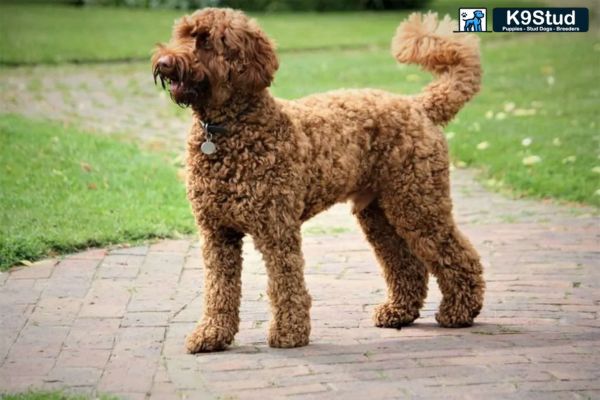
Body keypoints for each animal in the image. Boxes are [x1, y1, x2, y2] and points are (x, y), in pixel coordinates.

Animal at [152, 10, 486, 354]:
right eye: (181, 35)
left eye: (205, 41)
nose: (163, 62)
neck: (228, 130)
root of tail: (419, 105)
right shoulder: (217, 233)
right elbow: (219, 289)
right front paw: (212, 333)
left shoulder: (277, 229)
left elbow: (285, 283)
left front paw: (289, 333)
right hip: (380, 213)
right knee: (406, 264)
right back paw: (399, 311)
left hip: (418, 203)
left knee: (458, 255)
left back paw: (459, 311)